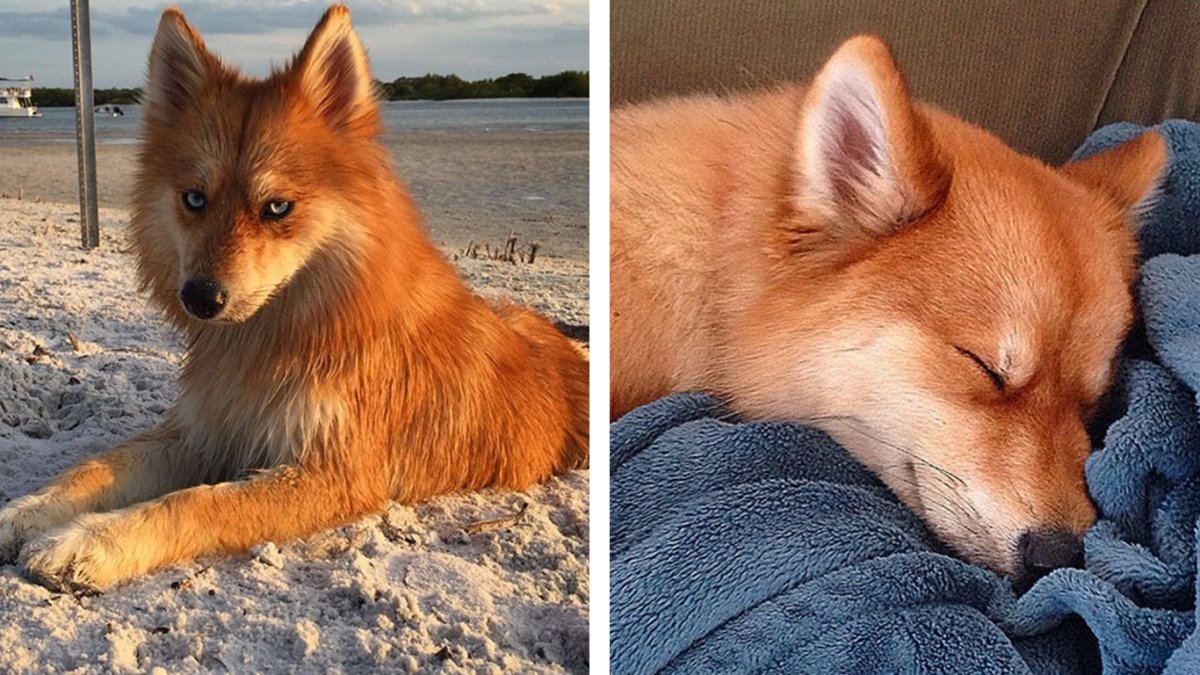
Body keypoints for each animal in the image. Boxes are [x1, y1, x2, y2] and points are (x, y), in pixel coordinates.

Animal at [0, 4, 588, 592]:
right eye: (194, 199)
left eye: (278, 207)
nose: (200, 297)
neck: (276, 338)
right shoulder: (203, 433)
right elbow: (95, 468)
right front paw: (24, 513)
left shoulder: (332, 475)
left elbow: (195, 504)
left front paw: (91, 539)